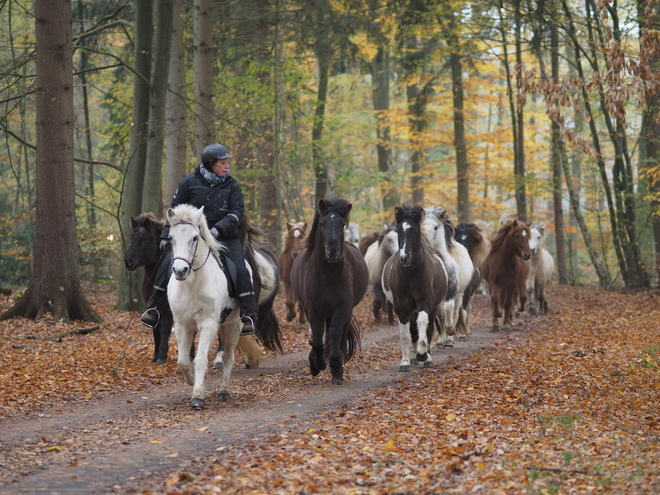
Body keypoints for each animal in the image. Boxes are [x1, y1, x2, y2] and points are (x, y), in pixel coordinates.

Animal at [168, 203, 242, 408]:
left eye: (195, 237)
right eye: (171, 238)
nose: (180, 270)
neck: (192, 283)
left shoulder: (207, 324)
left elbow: (201, 359)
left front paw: (198, 396)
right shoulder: (182, 325)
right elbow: (183, 360)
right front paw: (192, 380)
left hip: (233, 324)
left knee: (228, 358)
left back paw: (224, 392)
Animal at [292, 200, 368, 386]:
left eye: (342, 224)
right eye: (322, 223)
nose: (332, 250)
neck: (326, 274)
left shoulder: (342, 307)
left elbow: (334, 333)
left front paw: (336, 369)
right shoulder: (313, 310)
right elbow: (318, 339)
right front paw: (317, 364)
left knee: (340, 336)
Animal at [378, 205, 452, 372]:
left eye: (415, 231)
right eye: (399, 230)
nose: (404, 257)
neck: (411, 273)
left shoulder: (426, 302)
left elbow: (424, 325)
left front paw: (423, 354)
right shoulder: (401, 307)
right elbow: (406, 335)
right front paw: (405, 362)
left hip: (433, 308)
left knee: (428, 329)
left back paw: (426, 358)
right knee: (413, 331)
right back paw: (413, 358)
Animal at [422, 205, 474, 348]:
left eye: (435, 227)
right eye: (422, 225)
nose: (424, 241)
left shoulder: (452, 290)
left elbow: (449, 309)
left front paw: (451, 333)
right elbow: (440, 316)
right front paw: (443, 339)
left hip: (460, 295)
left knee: (454, 312)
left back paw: (450, 339)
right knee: (441, 315)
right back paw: (442, 341)